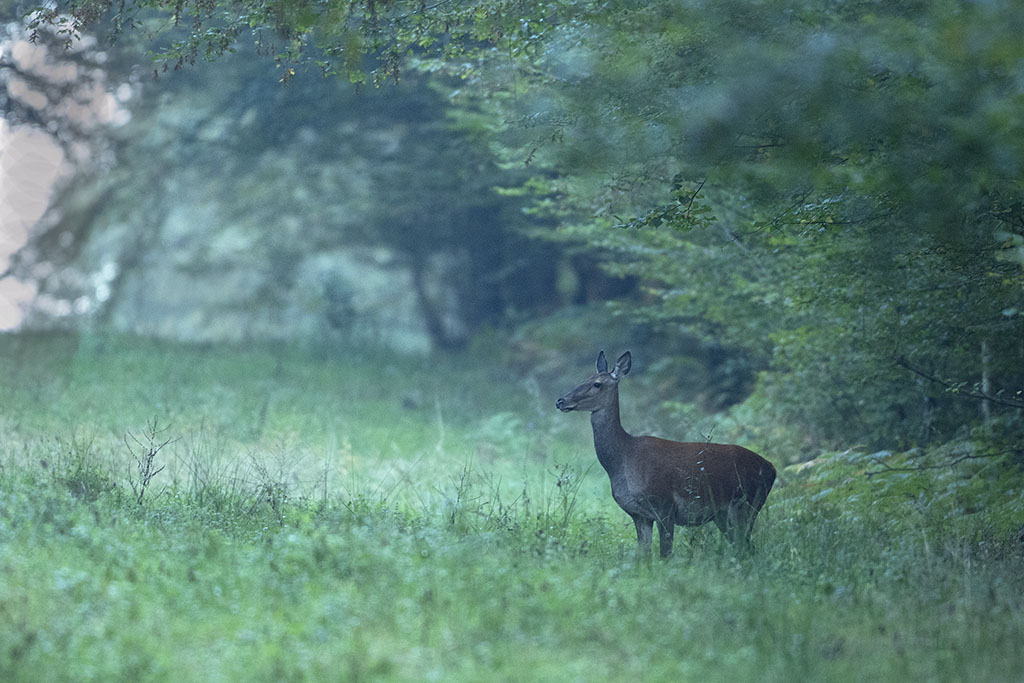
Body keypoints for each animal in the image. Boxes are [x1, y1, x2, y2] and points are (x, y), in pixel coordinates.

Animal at [561, 352, 774, 557]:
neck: (623, 460)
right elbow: (644, 555)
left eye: (597, 384)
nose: (561, 400)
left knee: (747, 547)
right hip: (724, 515)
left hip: (746, 505)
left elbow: (665, 554)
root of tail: (772, 469)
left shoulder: (665, 505)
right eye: (583, 379)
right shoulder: (640, 515)